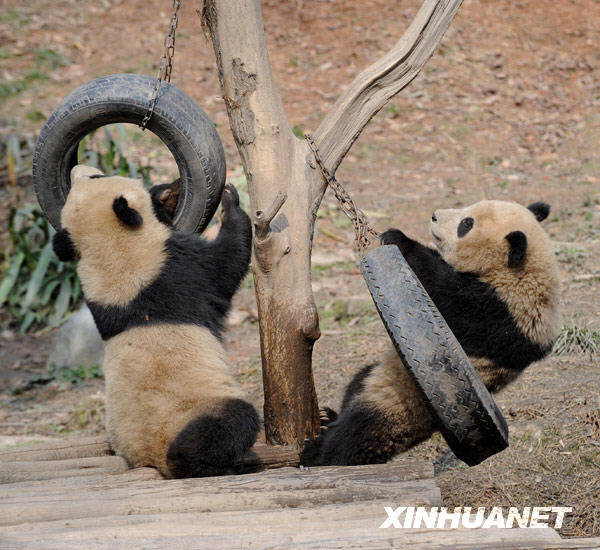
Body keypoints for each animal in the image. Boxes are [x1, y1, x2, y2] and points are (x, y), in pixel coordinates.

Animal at [52, 165, 258, 478]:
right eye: (98, 178)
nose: (78, 168)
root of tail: (153, 458)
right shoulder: (176, 267)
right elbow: (227, 262)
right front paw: (231, 202)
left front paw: (166, 194)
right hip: (202, 409)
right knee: (230, 424)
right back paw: (221, 463)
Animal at [304, 201, 564, 468]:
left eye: (466, 224)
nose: (435, 216)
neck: (524, 271)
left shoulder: (495, 310)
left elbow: (439, 286)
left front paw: (398, 238)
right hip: (383, 378)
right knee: (358, 383)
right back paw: (327, 417)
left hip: (401, 404)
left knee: (357, 434)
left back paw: (317, 454)